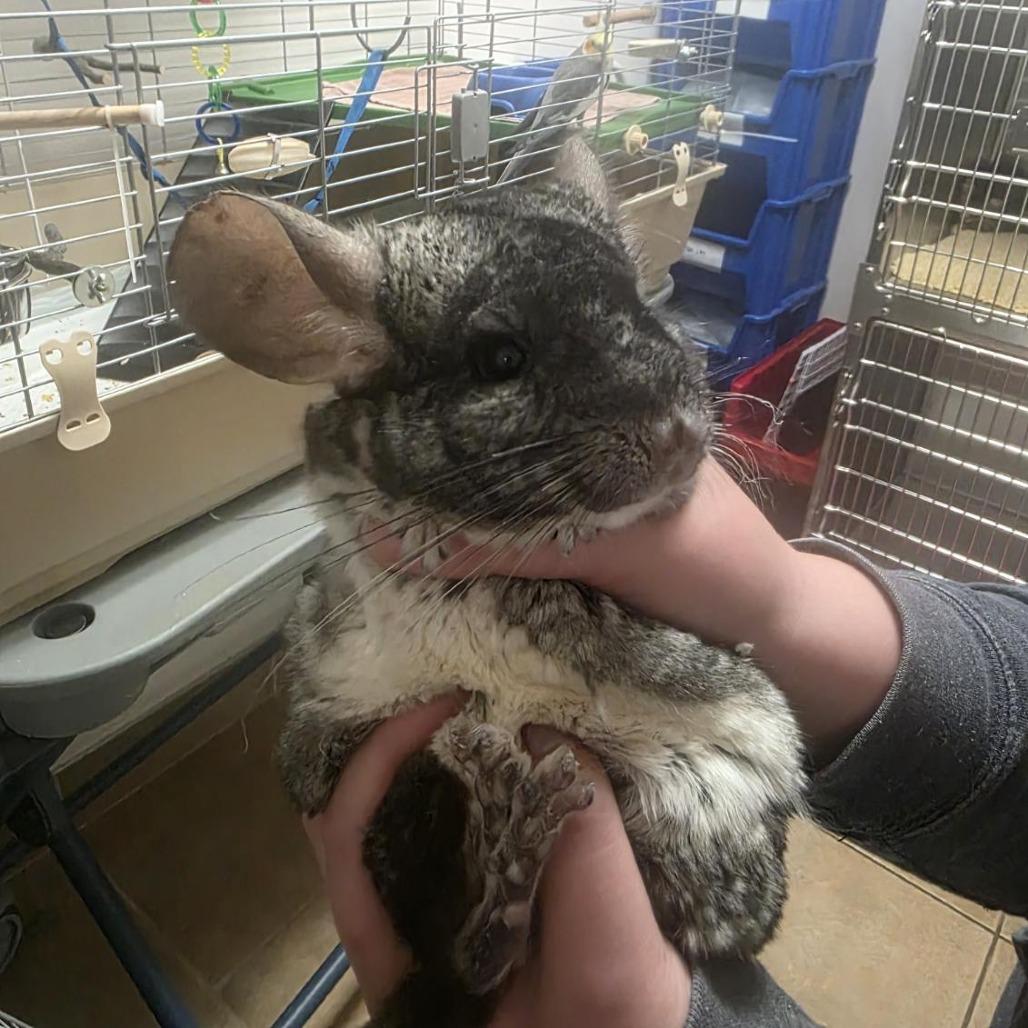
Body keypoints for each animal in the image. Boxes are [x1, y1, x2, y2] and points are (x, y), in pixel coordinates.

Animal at [169, 135, 807, 1028]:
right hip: (407, 784)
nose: (682, 437)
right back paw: (503, 870)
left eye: (645, 308)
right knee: (450, 945)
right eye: (500, 359)